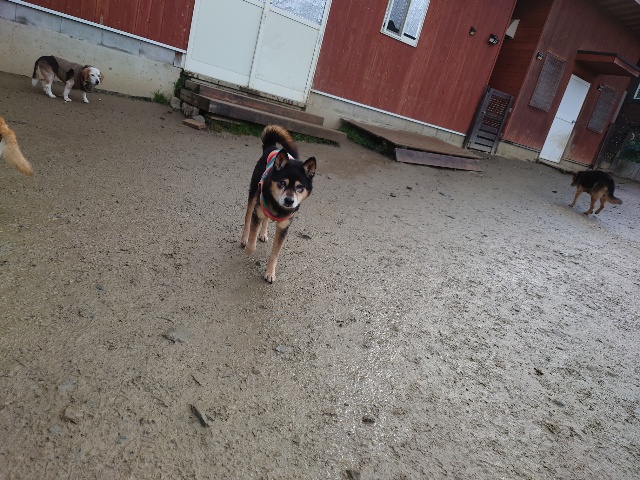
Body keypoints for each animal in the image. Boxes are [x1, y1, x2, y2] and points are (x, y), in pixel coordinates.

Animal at [241, 125, 316, 283]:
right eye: (282, 183)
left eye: (300, 187)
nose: (289, 200)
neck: (278, 208)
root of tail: (272, 147)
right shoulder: (258, 213)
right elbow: (252, 236)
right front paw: (249, 248)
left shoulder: (283, 228)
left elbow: (275, 254)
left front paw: (270, 273)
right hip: (253, 195)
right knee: (247, 219)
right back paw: (244, 239)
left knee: (267, 219)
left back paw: (263, 233)